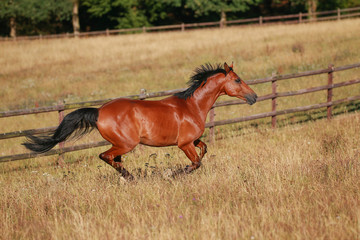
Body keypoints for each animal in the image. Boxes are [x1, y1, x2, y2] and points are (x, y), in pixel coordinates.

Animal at [23, 62, 256, 181]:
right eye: (237, 80)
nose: (254, 97)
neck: (192, 106)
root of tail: (99, 111)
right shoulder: (184, 144)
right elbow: (196, 163)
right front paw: (173, 174)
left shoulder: (193, 140)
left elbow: (204, 149)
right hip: (126, 144)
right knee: (105, 156)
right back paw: (132, 177)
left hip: (120, 145)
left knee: (114, 160)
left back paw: (128, 177)